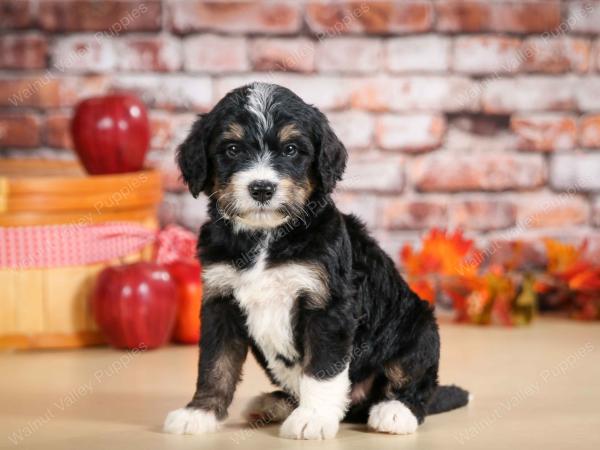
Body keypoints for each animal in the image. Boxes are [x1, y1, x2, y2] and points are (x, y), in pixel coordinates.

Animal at [164, 81, 468, 440]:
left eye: (291, 149)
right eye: (233, 149)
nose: (262, 188)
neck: (266, 237)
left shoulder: (327, 305)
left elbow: (322, 368)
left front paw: (313, 418)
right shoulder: (219, 301)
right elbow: (215, 363)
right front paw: (199, 413)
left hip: (420, 328)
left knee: (415, 382)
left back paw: (395, 411)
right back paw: (274, 403)